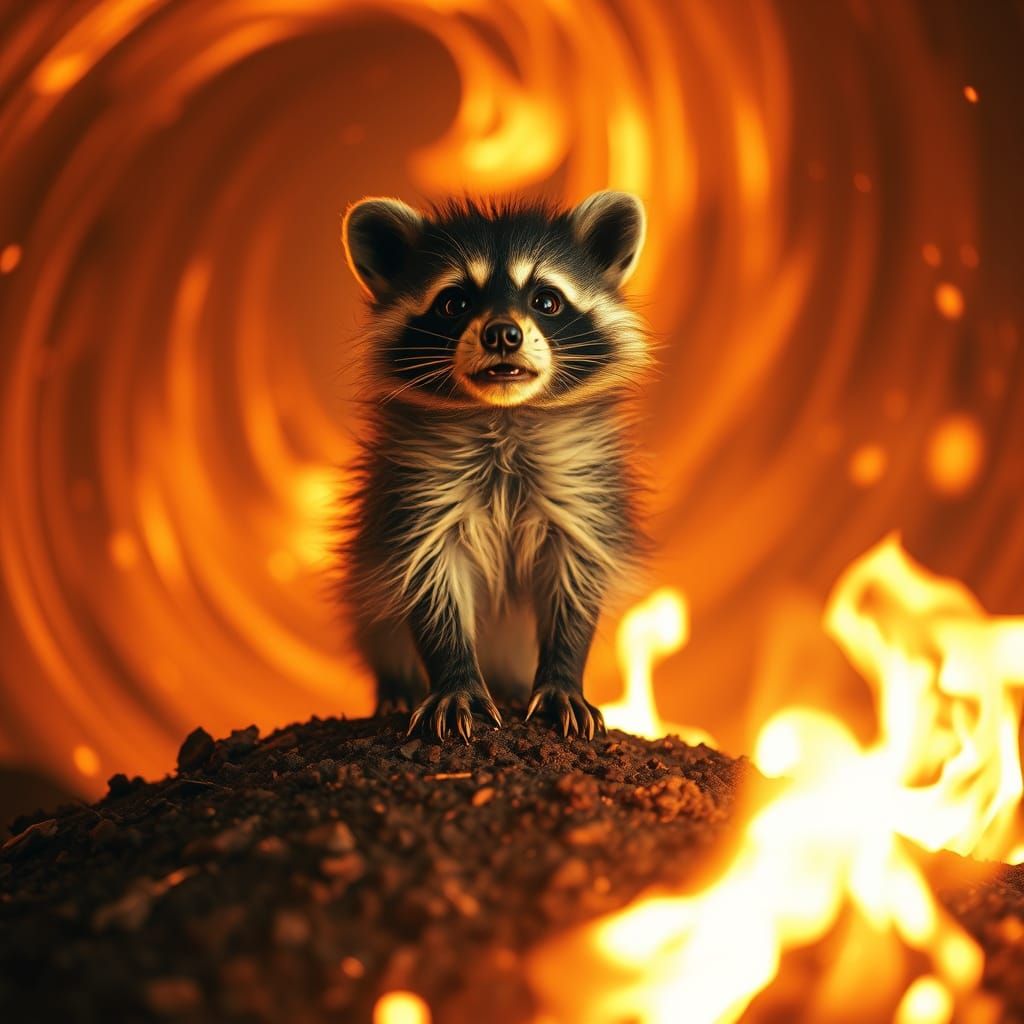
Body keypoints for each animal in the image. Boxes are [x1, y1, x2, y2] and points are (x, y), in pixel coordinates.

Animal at [340, 191, 650, 741]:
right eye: (454, 302)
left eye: (546, 300)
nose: (502, 334)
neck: (504, 416)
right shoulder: (417, 492)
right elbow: (428, 581)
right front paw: (454, 679)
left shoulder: (582, 493)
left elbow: (576, 583)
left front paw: (563, 677)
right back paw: (398, 687)